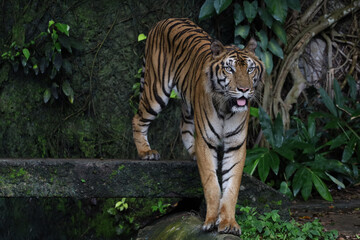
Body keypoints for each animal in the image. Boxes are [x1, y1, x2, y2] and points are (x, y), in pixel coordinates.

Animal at [132, 17, 264, 235]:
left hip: (187, 105)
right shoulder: (206, 142)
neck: (227, 108)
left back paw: (191, 152)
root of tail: (163, 20)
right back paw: (146, 152)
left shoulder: (236, 145)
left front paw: (229, 223)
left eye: (250, 69)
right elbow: (212, 185)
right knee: (138, 118)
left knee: (183, 125)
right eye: (230, 69)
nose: (244, 89)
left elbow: (231, 187)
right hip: (156, 91)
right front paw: (210, 221)